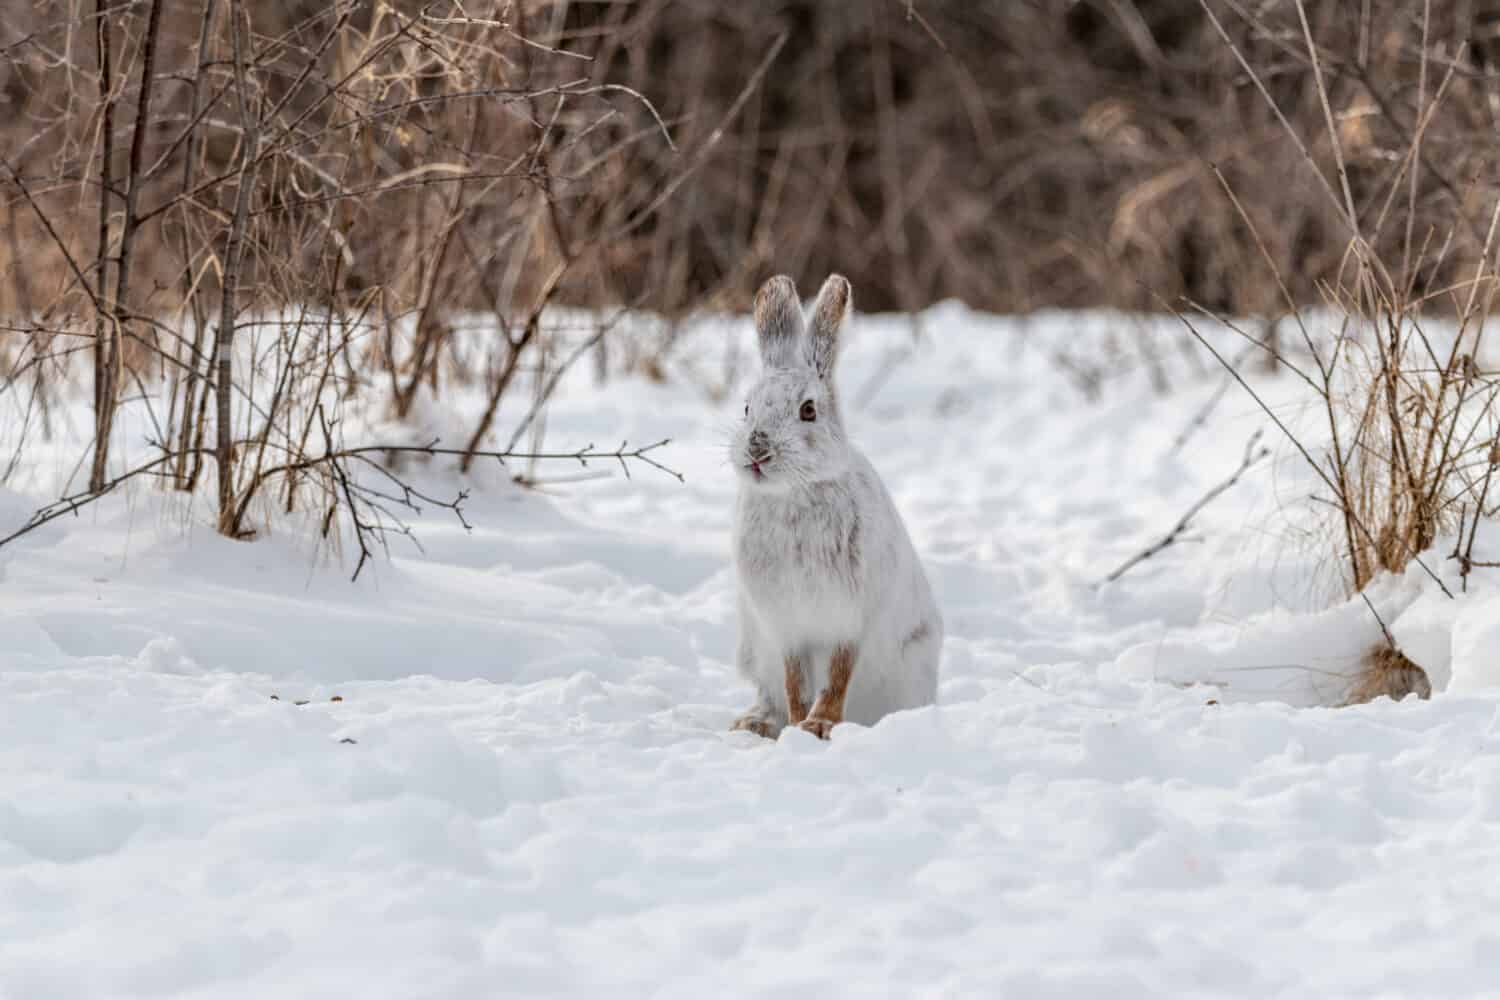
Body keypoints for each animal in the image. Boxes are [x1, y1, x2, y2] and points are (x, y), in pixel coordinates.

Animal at [728, 273, 943, 740]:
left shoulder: (849, 620)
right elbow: (794, 681)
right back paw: (754, 723)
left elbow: (838, 675)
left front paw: (820, 725)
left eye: (808, 410)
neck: (794, 492)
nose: (757, 450)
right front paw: (798, 725)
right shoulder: (786, 628)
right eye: (747, 407)